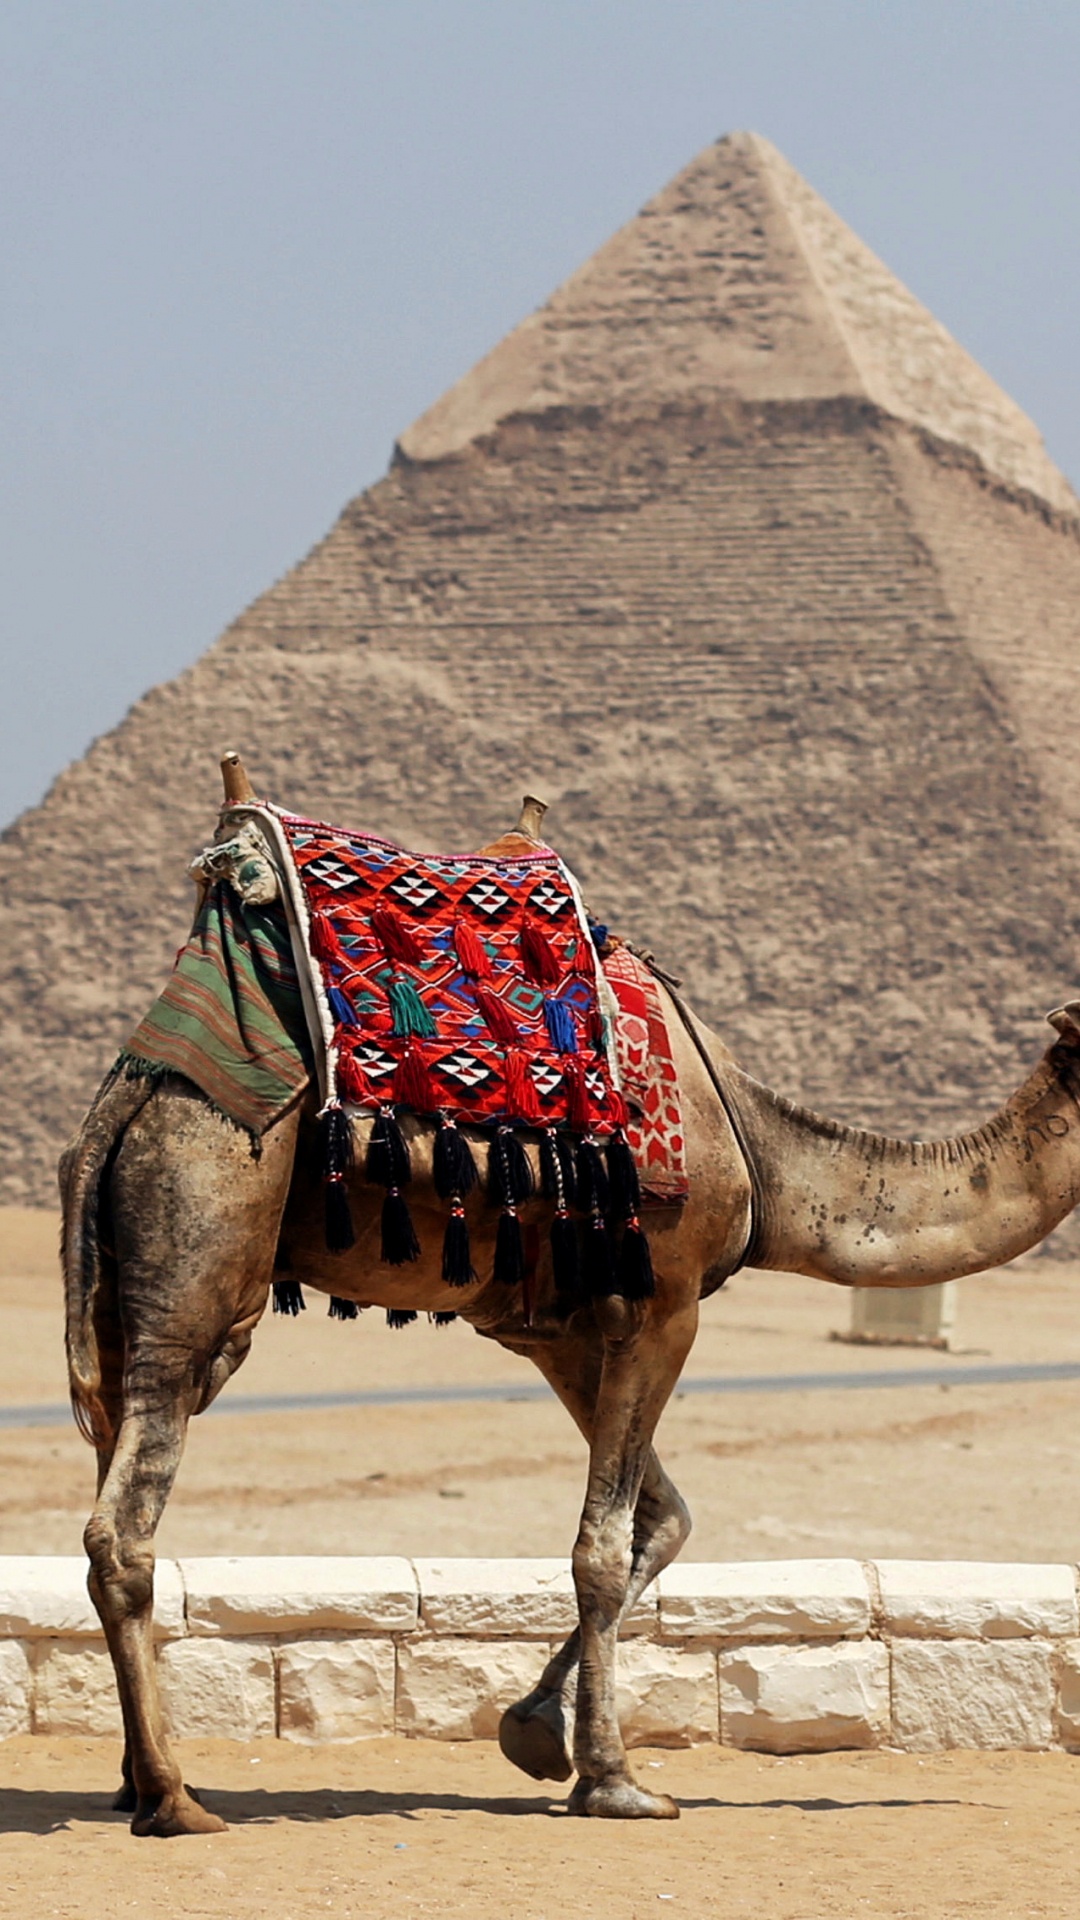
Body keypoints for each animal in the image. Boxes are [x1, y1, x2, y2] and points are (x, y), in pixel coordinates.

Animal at [59, 770, 1080, 1837]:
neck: (764, 1160)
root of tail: (122, 1101)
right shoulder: (664, 1303)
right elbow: (601, 1543)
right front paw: (615, 1780)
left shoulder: (559, 1331)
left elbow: (659, 1521)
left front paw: (537, 1733)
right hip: (208, 1218)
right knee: (124, 1521)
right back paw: (174, 1796)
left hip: (134, 1291)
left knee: (109, 1472)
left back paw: (132, 1777)